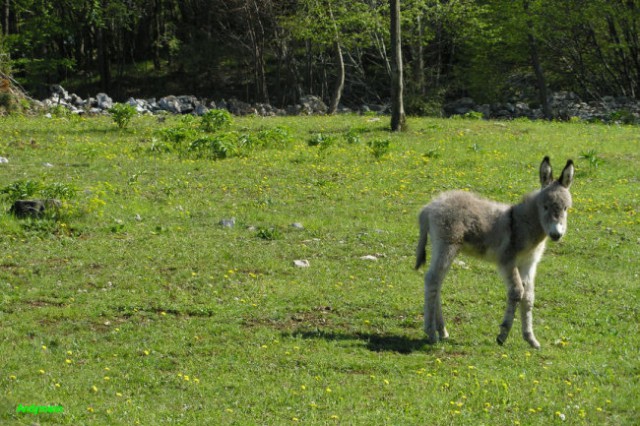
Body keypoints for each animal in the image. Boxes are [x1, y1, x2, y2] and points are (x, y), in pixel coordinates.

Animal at [416, 158, 576, 348]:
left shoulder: (529, 263)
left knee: (437, 281)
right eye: (545, 207)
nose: (556, 234)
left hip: (444, 247)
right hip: (447, 245)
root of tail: (430, 206)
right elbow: (517, 291)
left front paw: (530, 338)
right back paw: (431, 333)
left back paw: (442, 331)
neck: (522, 223)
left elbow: (528, 297)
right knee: (432, 279)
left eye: (565, 208)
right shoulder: (507, 260)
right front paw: (503, 334)